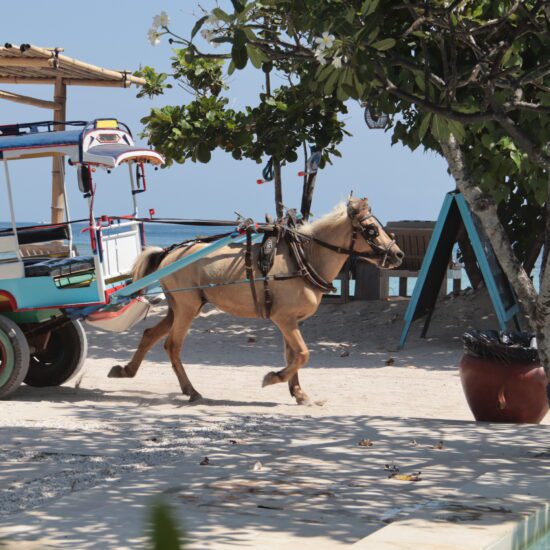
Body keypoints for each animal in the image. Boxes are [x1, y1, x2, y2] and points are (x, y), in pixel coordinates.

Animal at [109, 198, 406, 406]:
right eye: (371, 229)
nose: (399, 255)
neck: (303, 257)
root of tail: (169, 252)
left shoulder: (292, 321)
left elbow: (293, 355)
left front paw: (298, 392)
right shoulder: (283, 319)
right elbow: (303, 354)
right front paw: (274, 378)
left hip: (179, 308)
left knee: (150, 335)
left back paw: (126, 370)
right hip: (187, 309)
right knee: (172, 345)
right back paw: (191, 390)